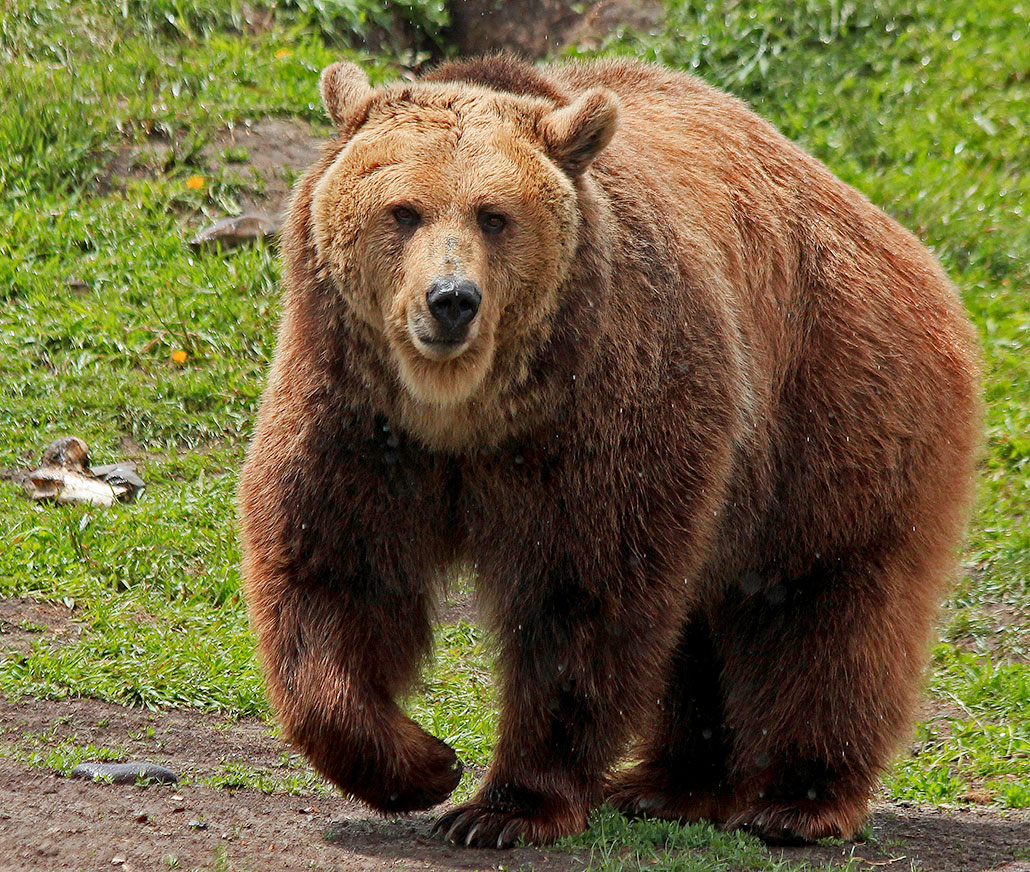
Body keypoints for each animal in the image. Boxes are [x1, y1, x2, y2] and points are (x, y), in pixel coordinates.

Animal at [238, 54, 980, 844]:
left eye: (493, 216)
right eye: (403, 210)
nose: (451, 300)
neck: (463, 410)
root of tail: (890, 229)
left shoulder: (604, 408)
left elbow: (584, 593)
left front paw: (504, 806)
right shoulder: (358, 414)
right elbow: (334, 571)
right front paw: (422, 764)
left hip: (832, 406)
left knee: (822, 602)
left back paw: (796, 799)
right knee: (704, 620)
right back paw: (671, 785)